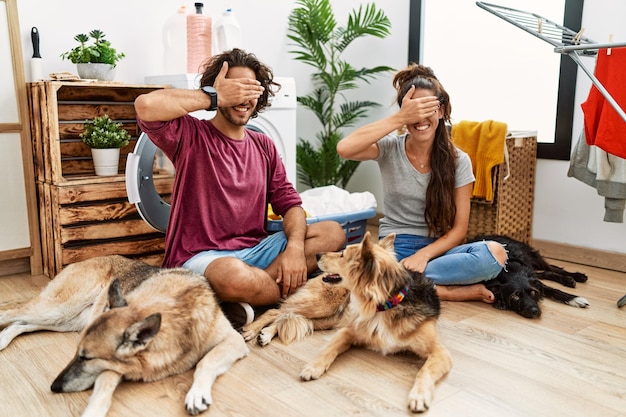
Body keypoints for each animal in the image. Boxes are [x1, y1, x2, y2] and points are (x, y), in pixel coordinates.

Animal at [0, 255, 249, 414]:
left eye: (85, 358)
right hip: (58, 309)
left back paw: (4, 338)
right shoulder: (112, 367)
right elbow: (104, 387)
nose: (54, 387)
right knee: (10, 314)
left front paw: (197, 393)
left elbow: (206, 362)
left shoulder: (233, 341)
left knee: (21, 323)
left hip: (66, 320)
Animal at [302, 232, 448, 412]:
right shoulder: (348, 331)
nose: (316, 255)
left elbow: (425, 371)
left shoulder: (440, 352)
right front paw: (313, 366)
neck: (385, 305)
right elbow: (329, 348)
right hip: (322, 306)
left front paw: (419, 395)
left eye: (343, 254)